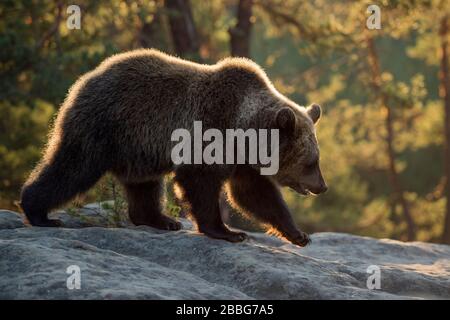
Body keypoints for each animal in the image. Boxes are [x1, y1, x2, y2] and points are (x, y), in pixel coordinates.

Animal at [21, 48, 326, 246]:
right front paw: (228, 232)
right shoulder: (210, 132)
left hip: (138, 148)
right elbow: (200, 183)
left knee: (144, 185)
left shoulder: (243, 159)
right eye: (311, 161)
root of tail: (86, 79)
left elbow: (255, 194)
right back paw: (39, 213)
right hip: (104, 125)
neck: (245, 130)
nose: (322, 186)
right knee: (72, 168)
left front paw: (298, 234)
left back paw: (161, 220)